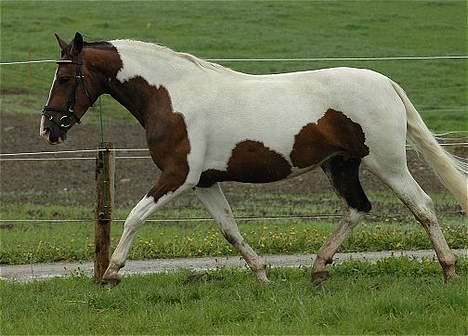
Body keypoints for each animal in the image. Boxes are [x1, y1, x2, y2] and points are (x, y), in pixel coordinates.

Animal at [40, 32, 464, 288]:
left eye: (65, 78)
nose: (48, 128)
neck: (171, 95)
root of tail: (386, 82)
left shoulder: (179, 176)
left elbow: (134, 216)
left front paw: (111, 274)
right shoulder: (204, 182)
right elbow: (229, 230)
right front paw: (262, 276)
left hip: (387, 163)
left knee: (423, 206)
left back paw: (448, 269)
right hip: (340, 164)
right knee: (358, 209)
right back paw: (318, 268)